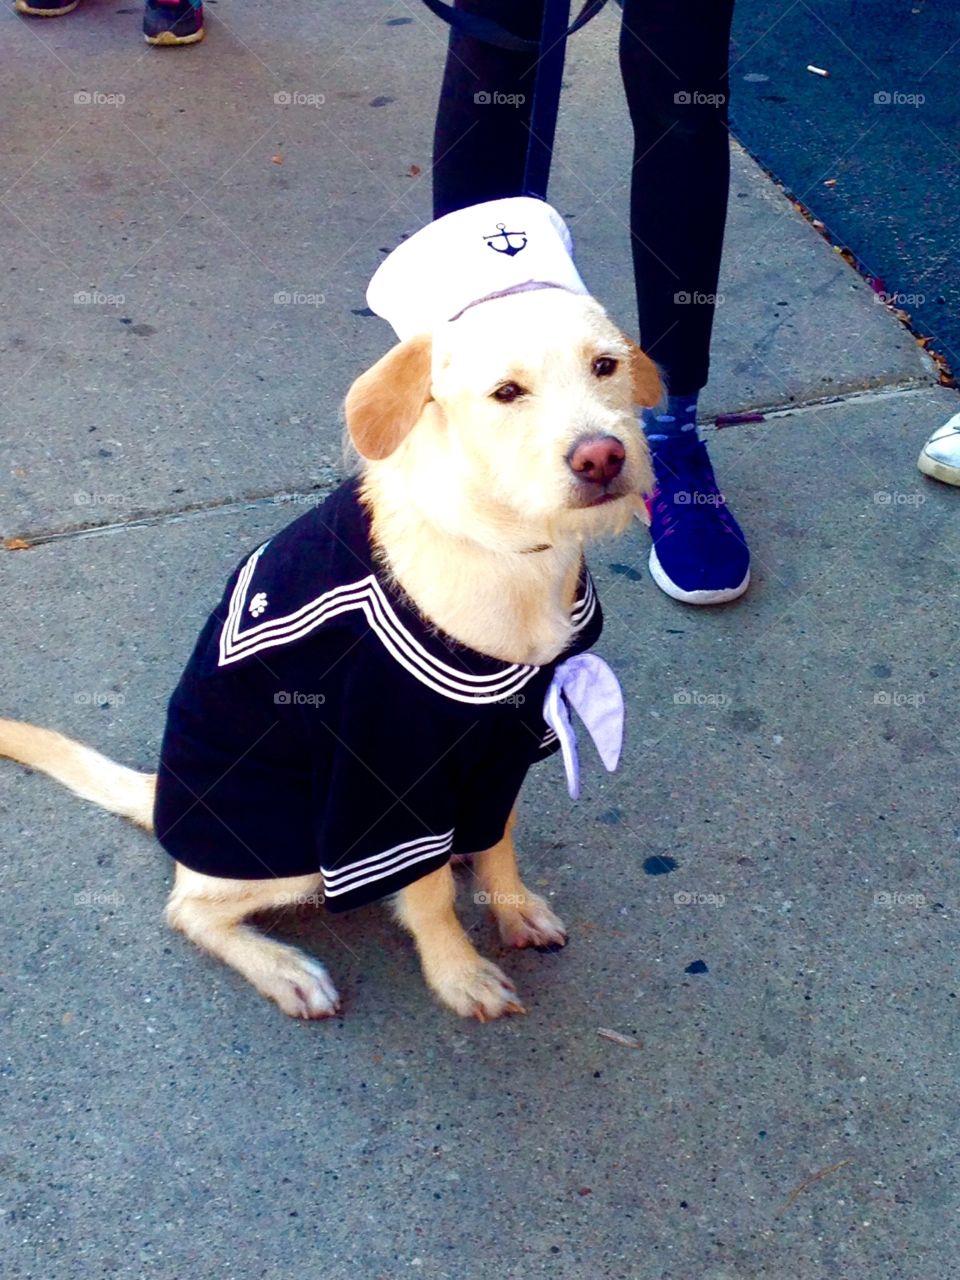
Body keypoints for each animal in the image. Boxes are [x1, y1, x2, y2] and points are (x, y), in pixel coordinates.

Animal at [0, 288, 660, 1018]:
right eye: (506, 392)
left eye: (605, 365)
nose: (601, 458)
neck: (506, 553)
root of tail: (165, 796)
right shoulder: (383, 786)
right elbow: (430, 898)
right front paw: (457, 972)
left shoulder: (505, 747)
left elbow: (497, 842)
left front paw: (510, 907)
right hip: (284, 846)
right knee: (188, 907)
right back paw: (281, 967)